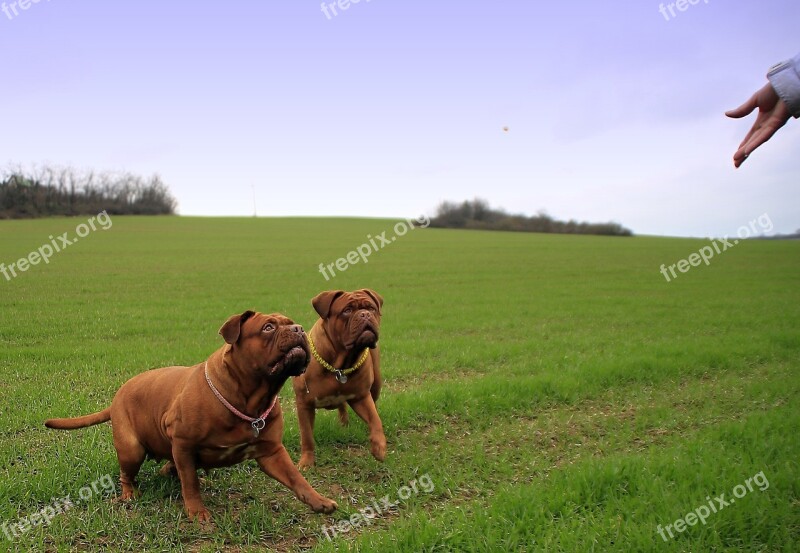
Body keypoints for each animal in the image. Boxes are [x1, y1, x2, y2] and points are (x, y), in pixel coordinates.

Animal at [43, 310, 338, 520]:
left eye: (292, 323)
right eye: (268, 327)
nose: (299, 329)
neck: (249, 398)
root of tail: (119, 394)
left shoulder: (272, 452)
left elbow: (297, 478)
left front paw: (318, 501)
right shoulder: (183, 444)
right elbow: (191, 484)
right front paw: (197, 512)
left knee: (170, 468)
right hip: (131, 449)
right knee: (129, 474)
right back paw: (129, 494)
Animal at [292, 288, 386, 470]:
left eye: (371, 308)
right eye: (347, 310)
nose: (365, 314)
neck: (340, 364)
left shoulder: (361, 397)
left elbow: (375, 419)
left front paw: (379, 446)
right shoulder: (304, 404)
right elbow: (307, 436)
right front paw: (306, 462)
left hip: (376, 384)